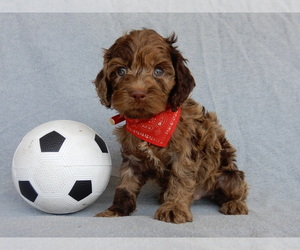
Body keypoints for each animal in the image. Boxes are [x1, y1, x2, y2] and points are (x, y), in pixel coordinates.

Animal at [94, 28, 248, 223]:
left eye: (158, 71)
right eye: (121, 71)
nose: (138, 93)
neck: (150, 122)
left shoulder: (184, 154)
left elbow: (180, 179)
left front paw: (174, 208)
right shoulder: (132, 158)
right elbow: (125, 186)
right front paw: (115, 210)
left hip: (229, 177)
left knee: (237, 190)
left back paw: (235, 204)